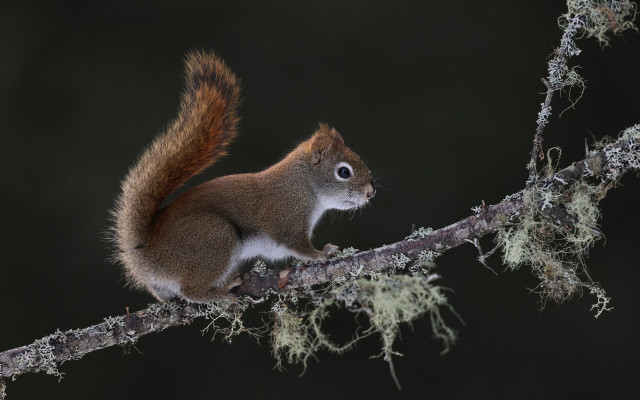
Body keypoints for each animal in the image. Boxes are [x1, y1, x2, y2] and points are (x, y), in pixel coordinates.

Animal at [111, 51, 375, 303]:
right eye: (343, 172)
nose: (371, 193)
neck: (303, 185)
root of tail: (147, 253)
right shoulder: (286, 218)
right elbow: (298, 246)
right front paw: (322, 253)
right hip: (215, 239)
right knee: (190, 290)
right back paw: (221, 292)